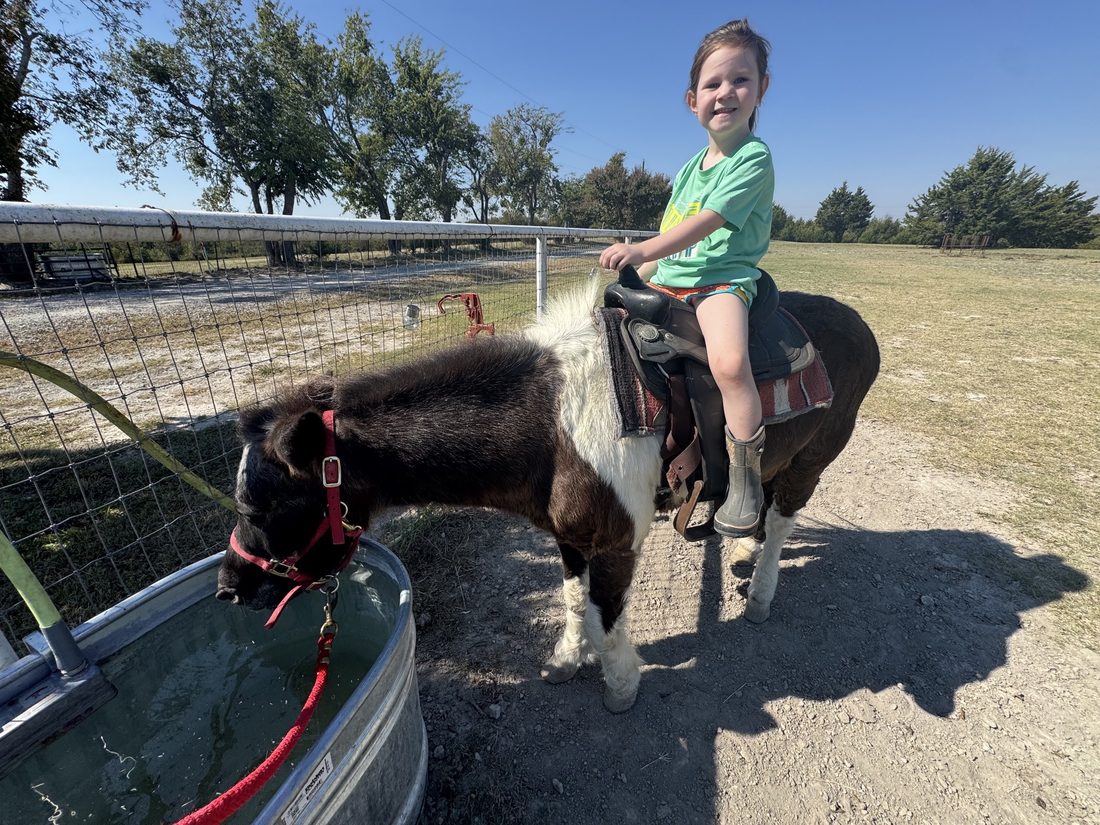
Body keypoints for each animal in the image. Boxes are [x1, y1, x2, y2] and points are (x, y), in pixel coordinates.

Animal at [217, 278, 880, 712]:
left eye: (258, 506)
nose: (229, 587)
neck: (552, 425)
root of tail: (856, 322)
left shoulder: (615, 544)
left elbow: (608, 617)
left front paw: (619, 683)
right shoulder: (567, 537)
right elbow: (571, 599)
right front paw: (566, 659)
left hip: (814, 459)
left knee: (783, 521)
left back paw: (761, 591)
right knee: (761, 506)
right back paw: (740, 551)